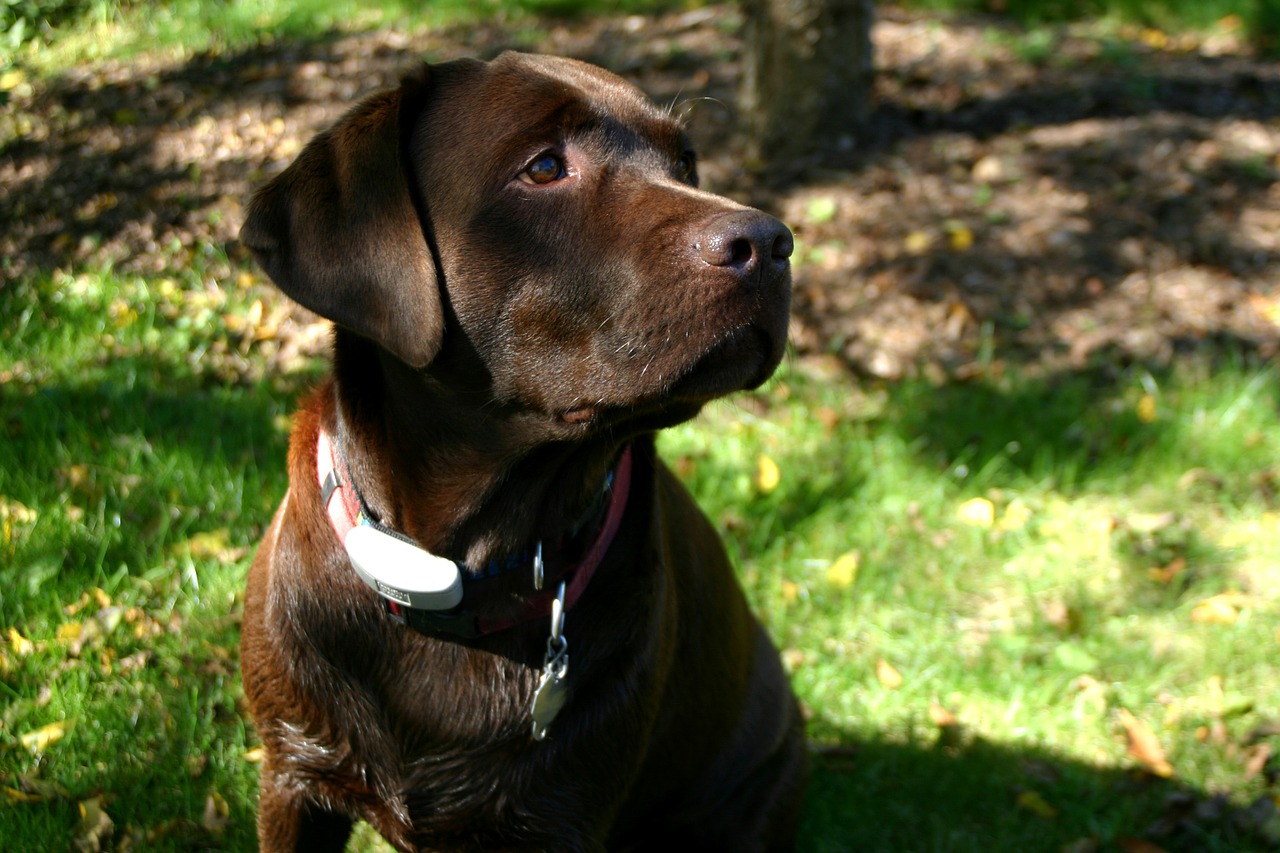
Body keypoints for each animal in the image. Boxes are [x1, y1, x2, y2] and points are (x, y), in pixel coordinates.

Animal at [236, 53, 803, 850]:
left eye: (686, 162)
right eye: (543, 167)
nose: (771, 242)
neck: (457, 571)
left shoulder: (560, 819)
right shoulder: (292, 777)